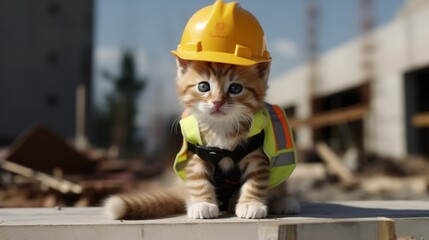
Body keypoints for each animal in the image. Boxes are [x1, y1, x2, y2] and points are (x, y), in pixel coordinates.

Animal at [104, 58, 300, 219]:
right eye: (204, 86)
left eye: (236, 88)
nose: (217, 102)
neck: (221, 128)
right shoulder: (197, 154)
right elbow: (198, 179)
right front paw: (202, 203)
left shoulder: (257, 154)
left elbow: (256, 179)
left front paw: (251, 204)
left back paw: (284, 201)